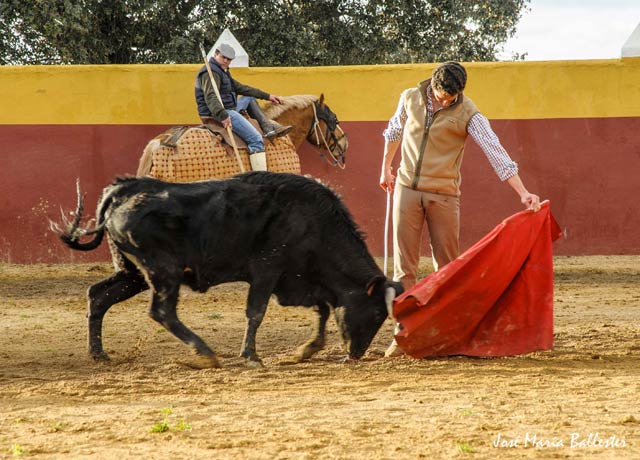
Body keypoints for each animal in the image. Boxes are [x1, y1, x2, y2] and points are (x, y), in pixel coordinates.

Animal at [52, 171, 402, 368]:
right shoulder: (267, 270)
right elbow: (256, 313)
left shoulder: (299, 280)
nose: (355, 354)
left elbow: (323, 310)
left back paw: (99, 354)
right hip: (163, 271)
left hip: (132, 273)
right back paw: (205, 352)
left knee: (99, 296)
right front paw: (252, 357)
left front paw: (306, 350)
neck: (314, 222)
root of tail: (123, 190)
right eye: (375, 313)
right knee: (162, 311)